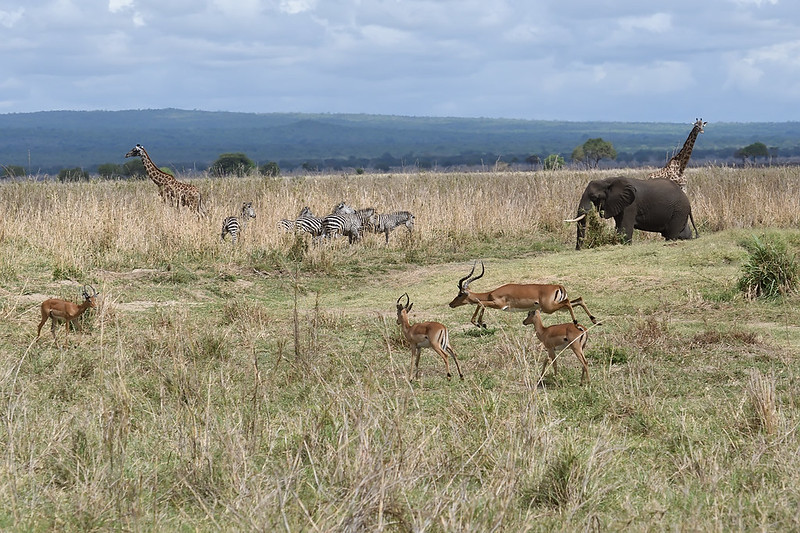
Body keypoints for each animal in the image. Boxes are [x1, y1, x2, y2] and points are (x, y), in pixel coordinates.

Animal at [446, 260, 596, 326]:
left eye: (459, 294)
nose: (450, 304)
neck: (491, 293)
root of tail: (558, 286)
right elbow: (481, 303)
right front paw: (481, 324)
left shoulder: (499, 304)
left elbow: (481, 303)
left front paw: (479, 323)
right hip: (557, 306)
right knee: (578, 300)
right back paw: (594, 320)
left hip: (549, 308)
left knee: (569, 303)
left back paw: (576, 322)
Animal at [568, 175, 700, 249]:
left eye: (594, 197)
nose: (579, 249)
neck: (607, 181)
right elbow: (619, 226)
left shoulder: (630, 205)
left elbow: (624, 229)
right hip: (679, 211)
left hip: (679, 210)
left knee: (672, 235)